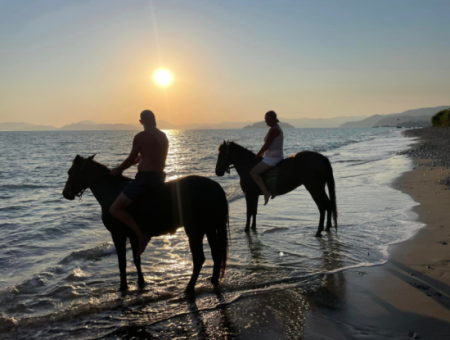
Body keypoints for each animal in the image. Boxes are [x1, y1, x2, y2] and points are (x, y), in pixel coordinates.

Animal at [62, 155, 229, 294]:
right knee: (216, 253)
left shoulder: (118, 235)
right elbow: (136, 259)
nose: (65, 193)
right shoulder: (133, 235)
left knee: (199, 258)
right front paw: (141, 282)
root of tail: (214, 185)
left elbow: (122, 262)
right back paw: (213, 281)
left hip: (195, 229)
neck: (112, 192)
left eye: (70, 172)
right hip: (209, 227)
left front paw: (123, 287)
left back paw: (189, 288)